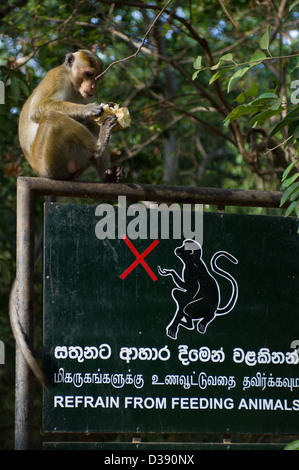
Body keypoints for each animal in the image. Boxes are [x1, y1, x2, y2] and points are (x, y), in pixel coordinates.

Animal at [18, 49, 125, 182]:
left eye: (97, 78)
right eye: (89, 74)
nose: (93, 87)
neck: (72, 83)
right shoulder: (57, 76)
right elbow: (36, 110)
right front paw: (87, 109)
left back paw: (108, 176)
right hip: (47, 164)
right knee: (50, 116)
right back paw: (99, 145)